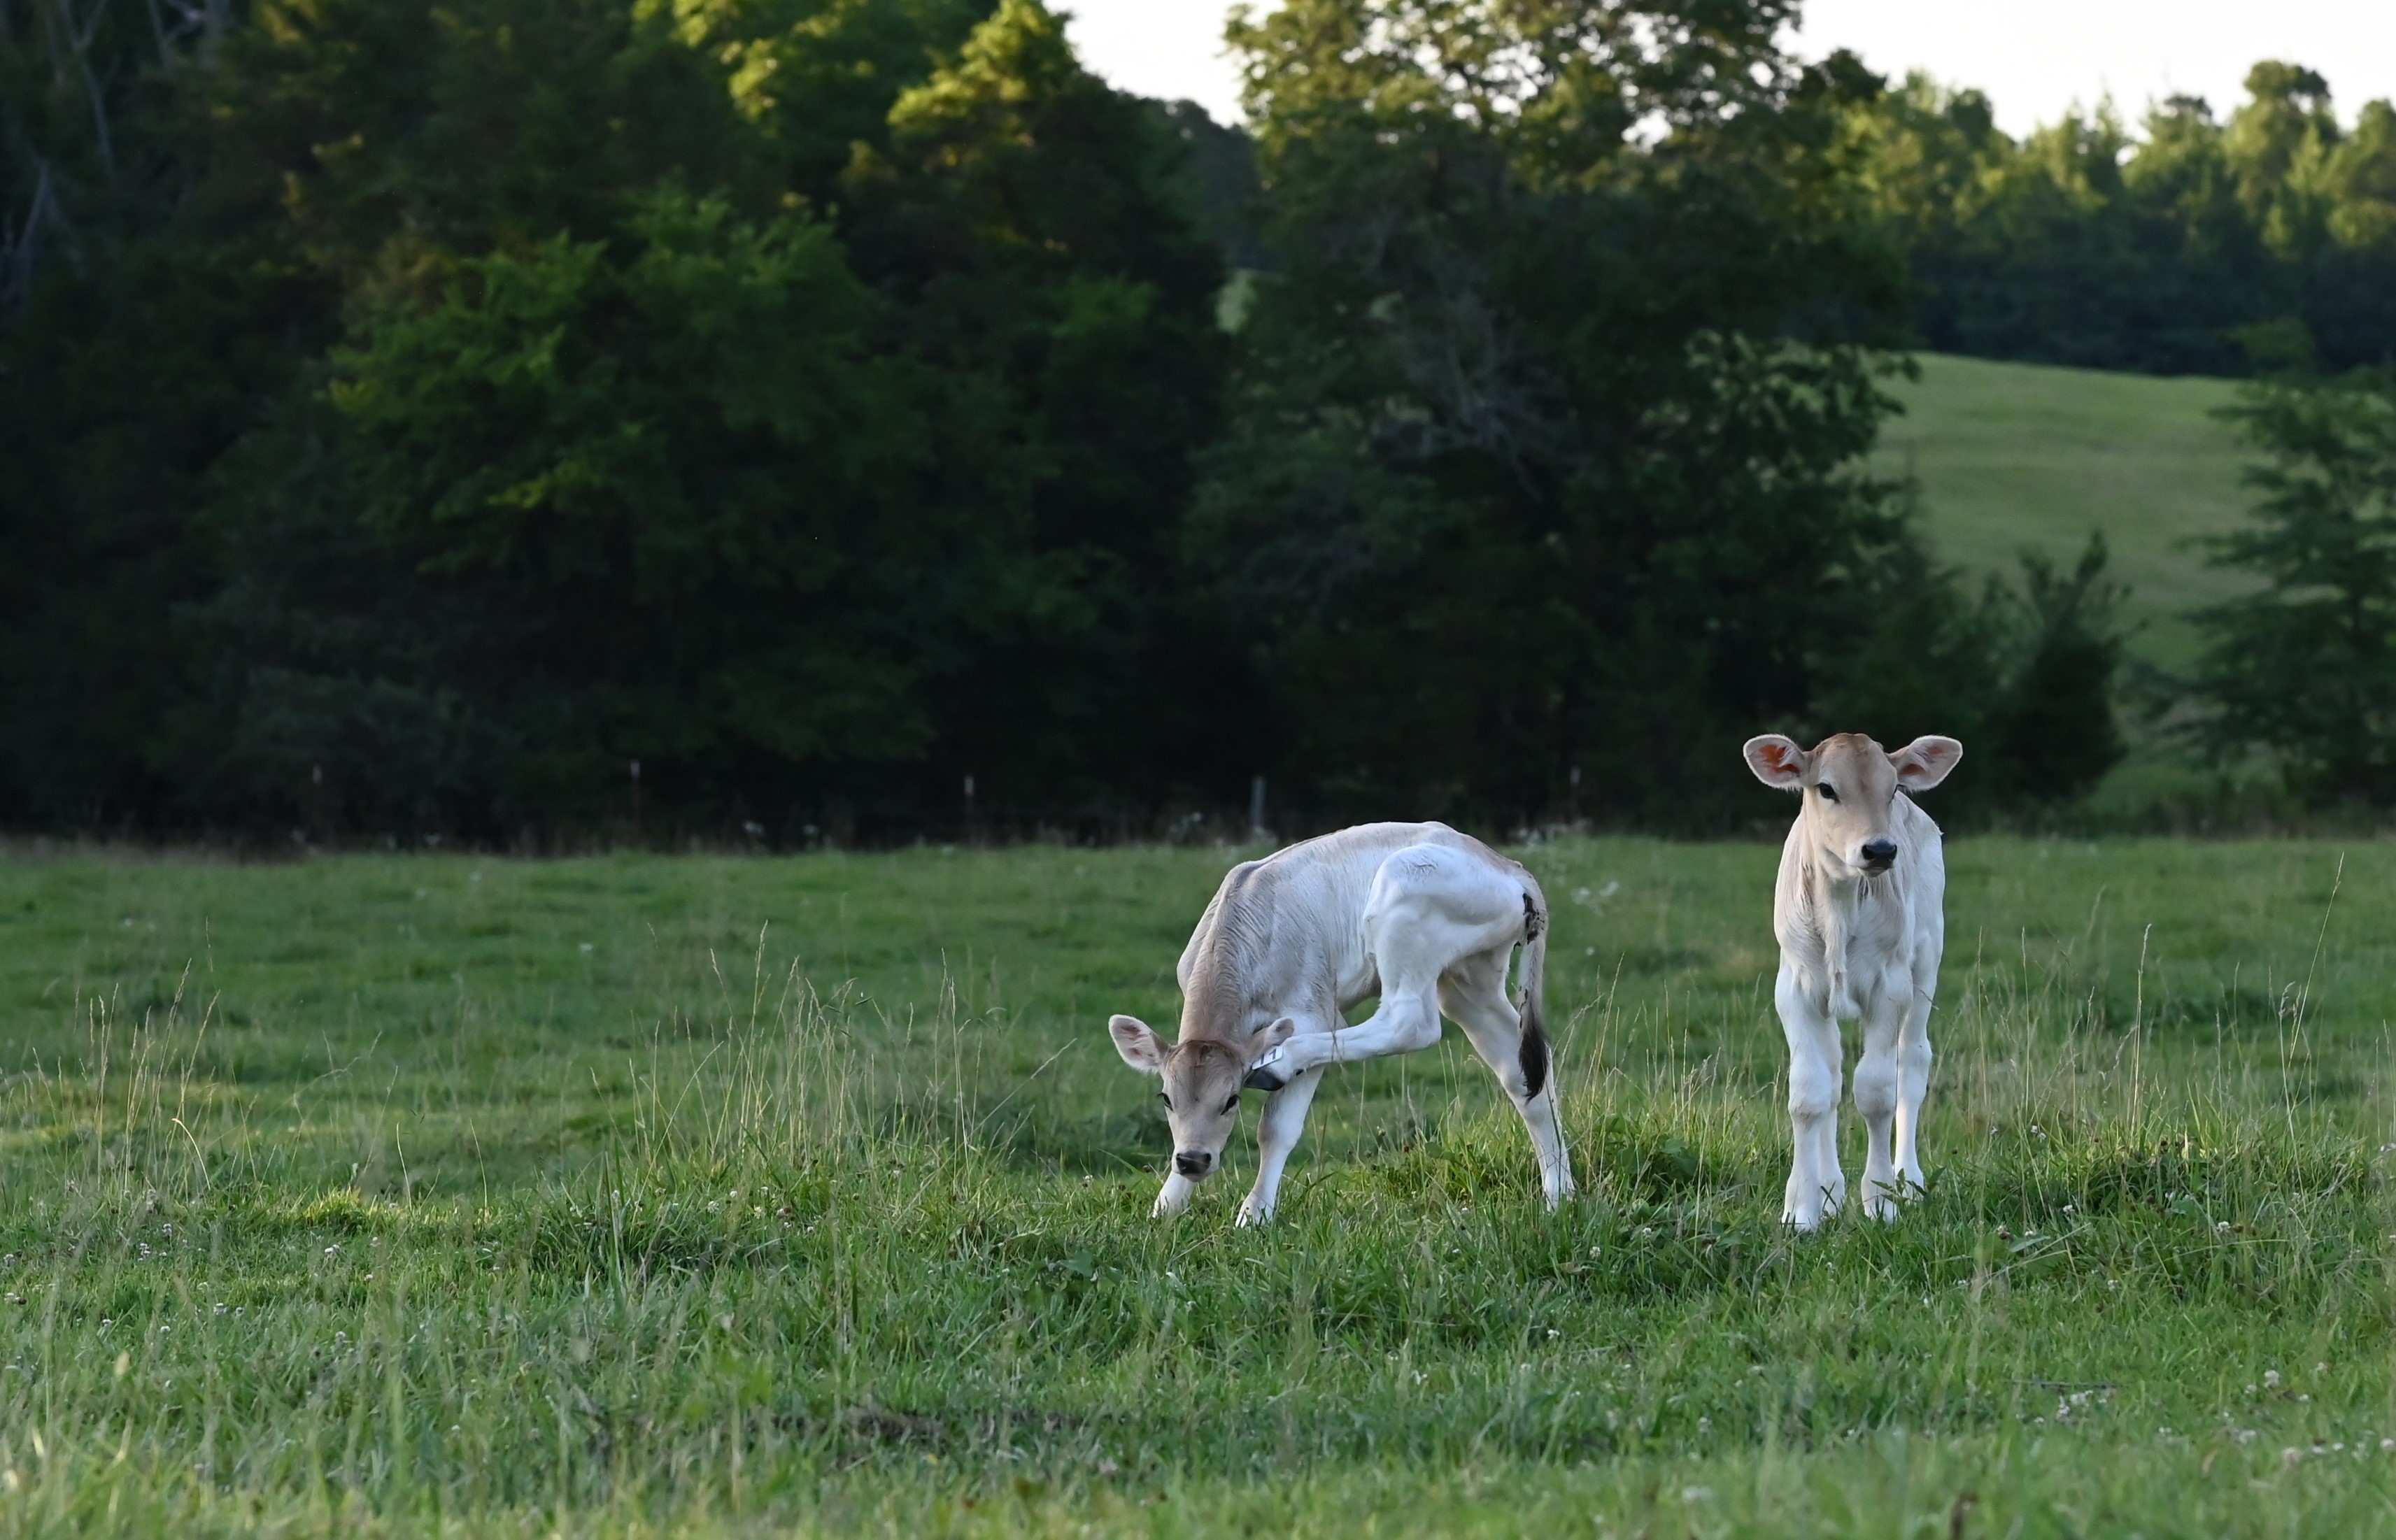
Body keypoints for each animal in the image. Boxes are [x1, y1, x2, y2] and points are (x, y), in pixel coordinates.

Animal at [1106, 822, 1572, 1222]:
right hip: (1469, 978)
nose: (1192, 1160)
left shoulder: (1313, 1013)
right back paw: (1559, 1195)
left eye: (1231, 1100)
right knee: (1523, 1072)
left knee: (1410, 1022)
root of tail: (1505, 863)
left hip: (1403, 904)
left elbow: (1276, 1129)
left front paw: (1255, 1214)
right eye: (1166, 1099)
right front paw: (1166, 1207)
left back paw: (1280, 1062)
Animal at [1742, 732, 1962, 1229]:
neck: (1839, 907)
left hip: (1927, 961)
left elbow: (1877, 1093)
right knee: (1833, 1074)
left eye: (1893, 788)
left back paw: (1909, 1181)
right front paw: (1802, 1209)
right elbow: (1810, 1094)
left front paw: (1881, 1201)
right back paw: (1830, 1192)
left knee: (1913, 1063)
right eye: (1827, 789)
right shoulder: (1795, 989)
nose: (1880, 850)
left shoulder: (1890, 987)